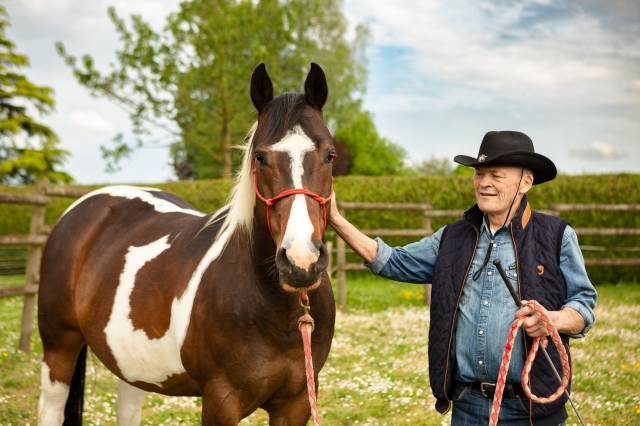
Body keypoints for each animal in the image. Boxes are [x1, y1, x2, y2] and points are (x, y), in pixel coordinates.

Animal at [37, 63, 336, 425]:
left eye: (330, 154)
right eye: (260, 157)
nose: (300, 262)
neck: (277, 311)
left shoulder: (296, 404)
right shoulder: (220, 402)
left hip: (131, 363)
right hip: (59, 347)